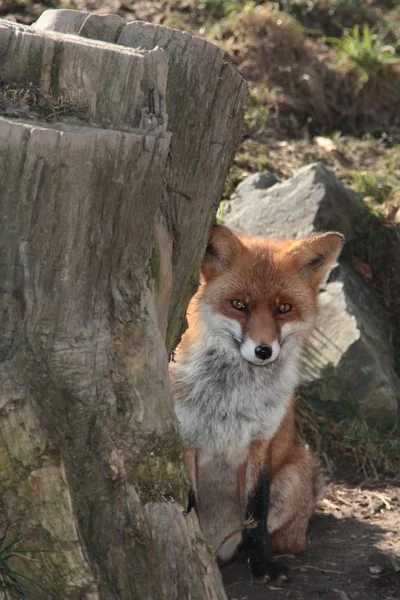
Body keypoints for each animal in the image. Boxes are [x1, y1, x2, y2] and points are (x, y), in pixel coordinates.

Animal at [169, 225, 344, 580]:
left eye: (283, 308)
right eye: (239, 304)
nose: (263, 351)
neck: (232, 399)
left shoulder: (261, 440)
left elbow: (256, 508)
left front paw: (261, 559)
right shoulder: (187, 436)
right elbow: (191, 502)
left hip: (294, 475)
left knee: (289, 540)